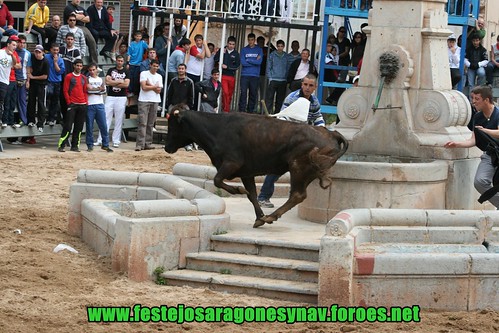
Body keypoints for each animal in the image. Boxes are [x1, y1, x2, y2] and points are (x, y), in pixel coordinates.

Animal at [163, 105, 348, 227]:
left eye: (172, 125)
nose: (166, 147)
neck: (217, 128)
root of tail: (331, 133)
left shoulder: (231, 163)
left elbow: (218, 180)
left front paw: (238, 190)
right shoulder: (246, 173)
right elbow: (252, 194)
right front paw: (258, 217)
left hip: (298, 168)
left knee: (297, 195)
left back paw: (271, 217)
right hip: (308, 171)